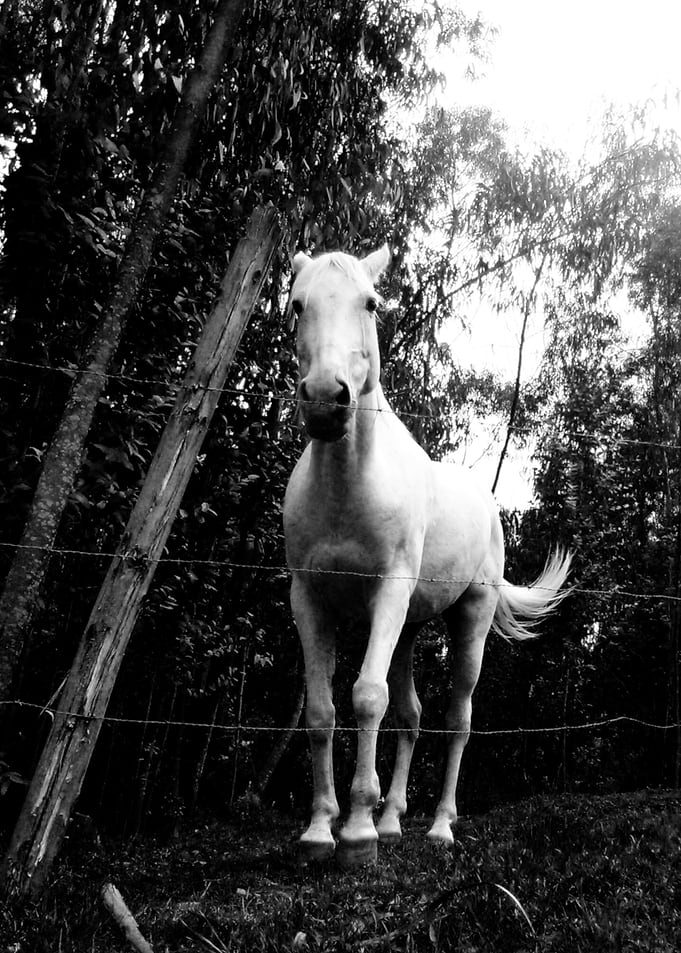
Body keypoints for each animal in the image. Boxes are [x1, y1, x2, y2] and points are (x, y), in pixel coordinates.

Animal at [283, 245, 571, 867]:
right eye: (296, 304)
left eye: (371, 302)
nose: (325, 400)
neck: (349, 486)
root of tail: (488, 505)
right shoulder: (309, 597)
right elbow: (322, 711)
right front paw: (321, 831)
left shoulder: (389, 591)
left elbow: (366, 697)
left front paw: (357, 836)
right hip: (409, 630)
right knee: (411, 716)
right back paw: (393, 819)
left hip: (471, 620)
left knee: (458, 718)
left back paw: (440, 827)